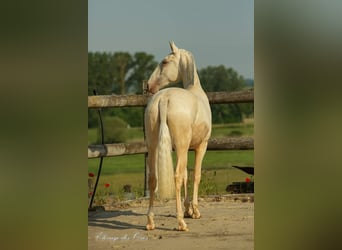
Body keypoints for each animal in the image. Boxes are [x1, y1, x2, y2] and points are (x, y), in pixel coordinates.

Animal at [144, 41, 211, 230]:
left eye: (164, 62)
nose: (148, 86)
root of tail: (164, 98)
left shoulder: (186, 149)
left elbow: (187, 175)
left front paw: (189, 209)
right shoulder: (201, 146)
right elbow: (195, 175)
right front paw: (194, 211)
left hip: (153, 147)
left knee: (153, 178)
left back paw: (150, 222)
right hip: (181, 147)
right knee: (176, 176)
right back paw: (181, 221)